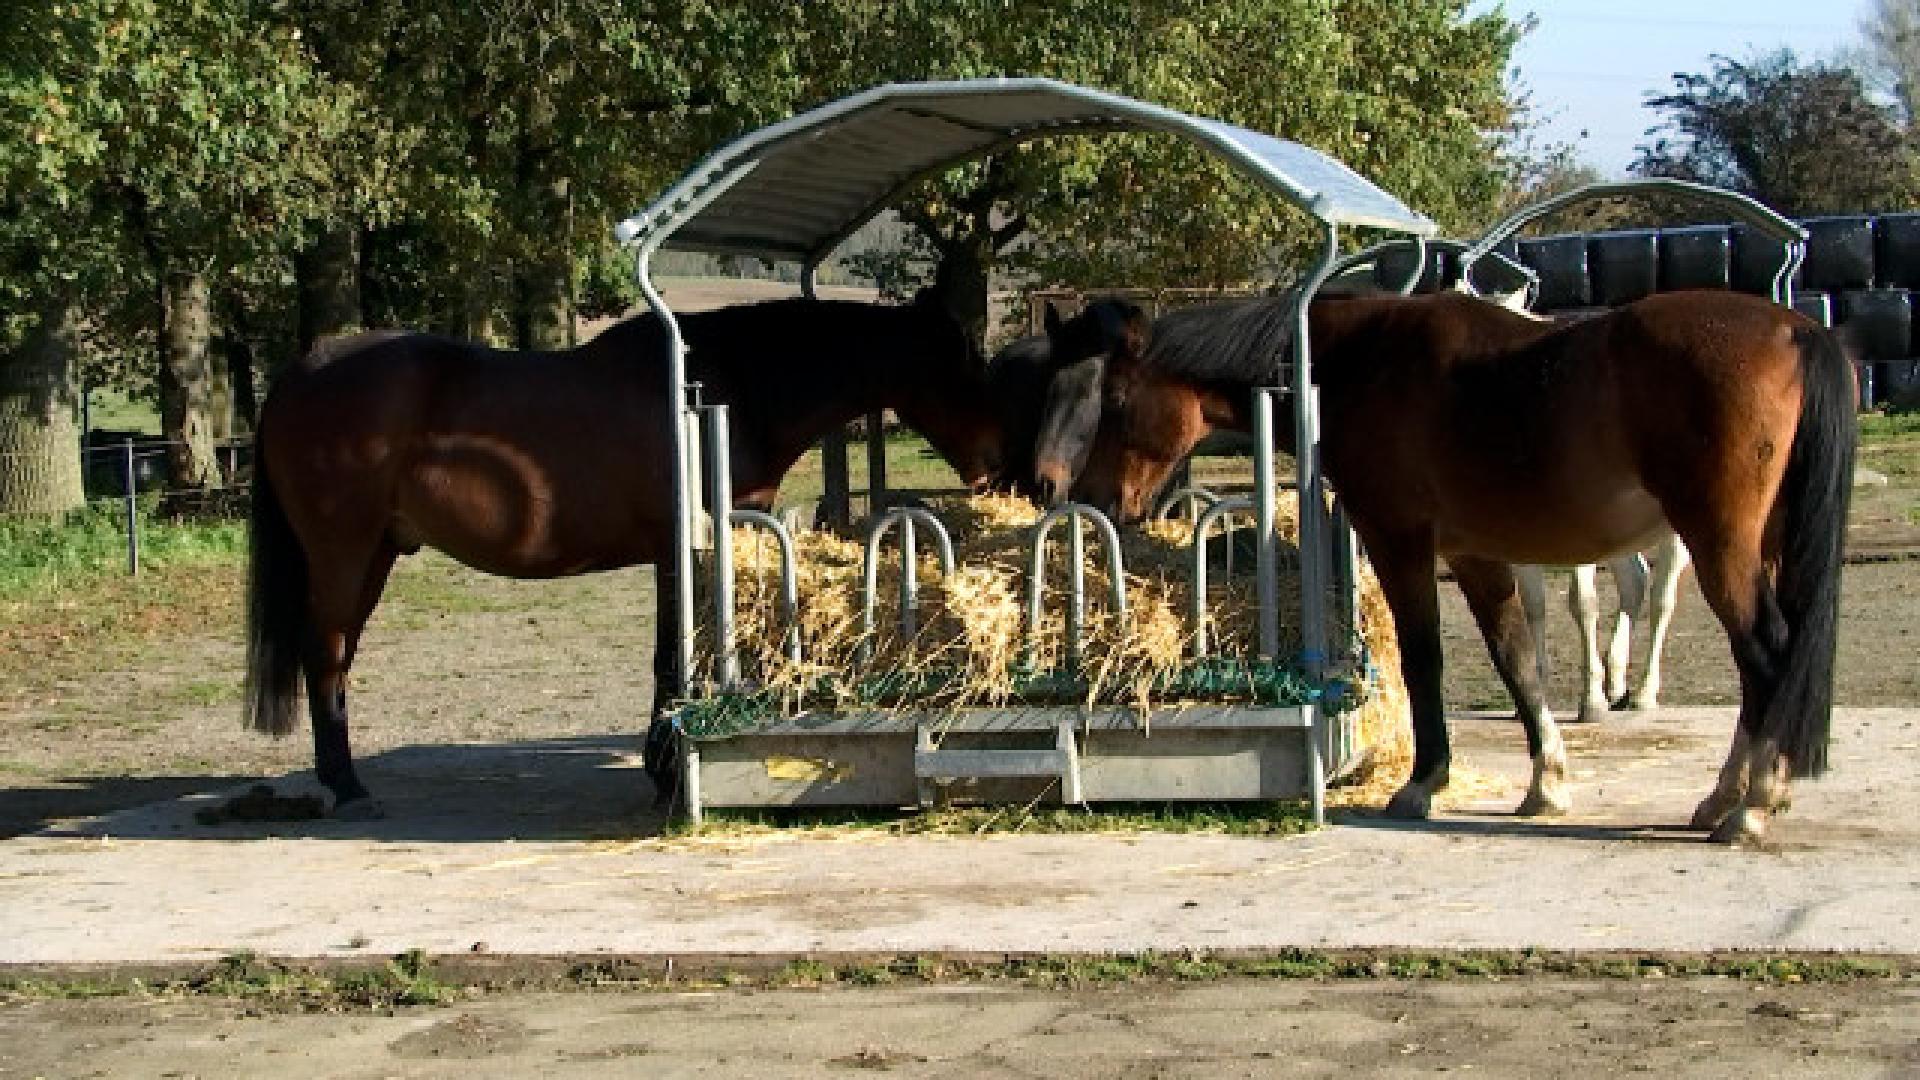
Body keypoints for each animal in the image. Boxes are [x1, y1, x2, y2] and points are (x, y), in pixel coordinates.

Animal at [244, 294, 1009, 816]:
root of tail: (298, 374)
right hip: (343, 552)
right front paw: (666, 771)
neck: (718, 389)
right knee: (327, 651)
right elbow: (670, 657)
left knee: (337, 654)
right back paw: (346, 786)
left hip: (376, 552)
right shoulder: (676, 547)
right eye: (960, 361)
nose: (997, 462)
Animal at [1033, 289, 1855, 845]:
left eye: (1112, 394)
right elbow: (1517, 661)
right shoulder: (1476, 555)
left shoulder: (1400, 541)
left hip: (1719, 545)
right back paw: (1725, 799)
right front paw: (1547, 784)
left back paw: (1752, 805)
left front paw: (1423, 783)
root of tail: (1797, 329)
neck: (1351, 364)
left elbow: (1425, 659)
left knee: (1768, 655)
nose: (1079, 496)